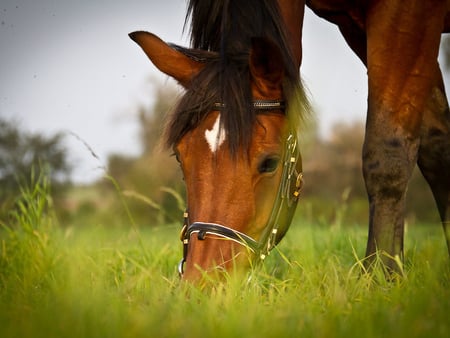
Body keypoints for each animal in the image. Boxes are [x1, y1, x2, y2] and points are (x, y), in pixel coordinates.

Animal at [130, 0, 450, 280]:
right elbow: (437, 149)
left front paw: (381, 276)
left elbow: (387, 153)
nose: (202, 282)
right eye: (180, 157)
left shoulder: (406, 15)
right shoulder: (358, 26)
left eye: (270, 163)